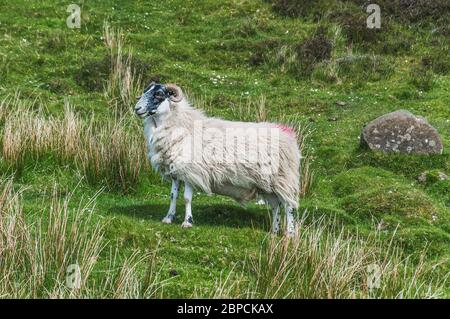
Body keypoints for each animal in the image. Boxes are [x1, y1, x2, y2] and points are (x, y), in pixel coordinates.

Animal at [135, 82, 300, 238]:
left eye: (158, 94)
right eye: (146, 91)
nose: (137, 108)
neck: (180, 125)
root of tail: (288, 134)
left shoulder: (190, 172)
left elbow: (187, 198)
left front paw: (187, 222)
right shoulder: (176, 172)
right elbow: (173, 196)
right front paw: (168, 218)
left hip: (284, 179)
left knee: (288, 206)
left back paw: (290, 234)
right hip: (267, 184)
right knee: (276, 206)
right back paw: (274, 231)